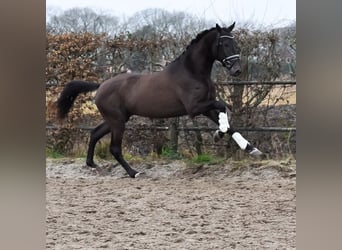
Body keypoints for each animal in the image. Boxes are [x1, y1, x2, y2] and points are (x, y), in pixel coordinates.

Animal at [57, 22, 264, 177]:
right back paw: (134, 173)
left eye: (236, 44)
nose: (237, 70)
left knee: (94, 133)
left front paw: (250, 148)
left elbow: (228, 122)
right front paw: (218, 134)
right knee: (114, 148)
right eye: (224, 44)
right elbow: (222, 106)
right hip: (117, 121)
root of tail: (101, 86)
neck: (192, 72)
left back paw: (92, 164)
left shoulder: (205, 107)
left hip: (116, 119)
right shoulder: (194, 108)